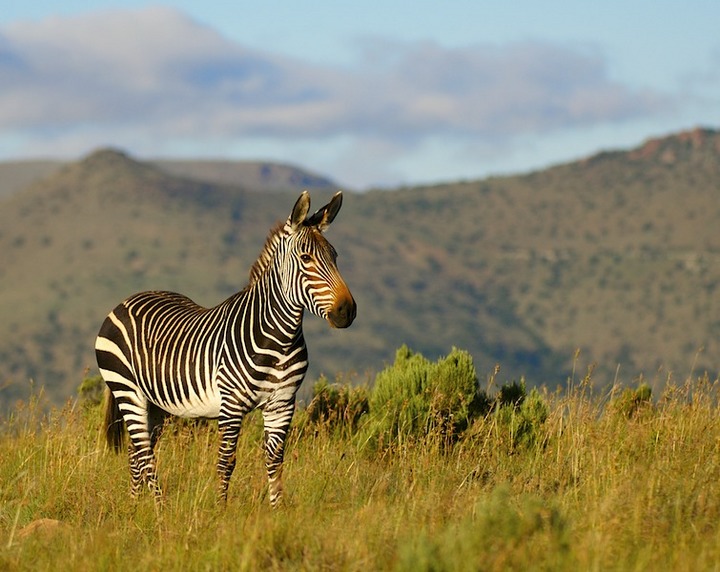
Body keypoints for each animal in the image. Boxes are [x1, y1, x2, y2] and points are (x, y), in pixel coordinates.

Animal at [95, 191, 356, 507]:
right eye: (306, 258)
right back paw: (160, 509)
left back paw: (135, 505)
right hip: (127, 389)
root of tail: (127, 300)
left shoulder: (282, 403)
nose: (347, 311)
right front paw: (220, 510)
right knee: (144, 455)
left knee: (136, 454)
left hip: (154, 403)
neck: (278, 339)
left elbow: (275, 461)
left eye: (335, 257)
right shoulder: (231, 404)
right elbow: (226, 462)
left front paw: (278, 509)